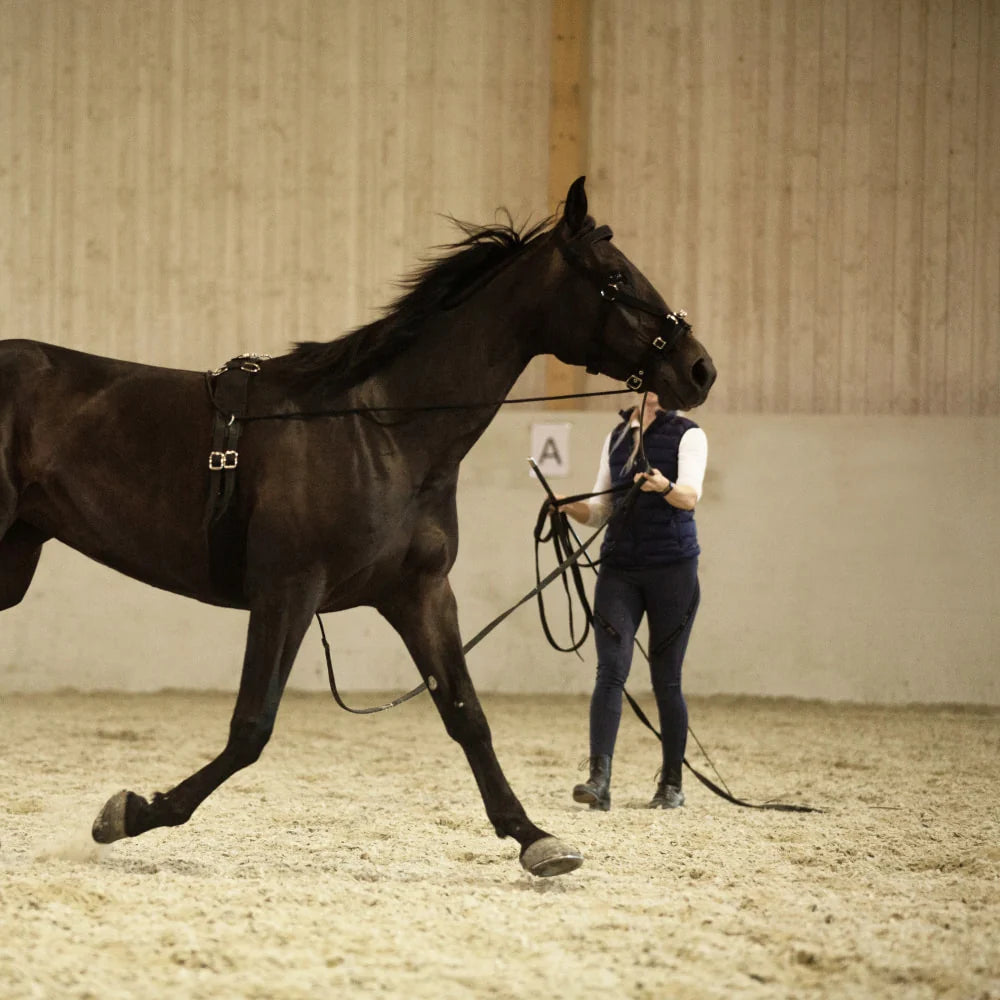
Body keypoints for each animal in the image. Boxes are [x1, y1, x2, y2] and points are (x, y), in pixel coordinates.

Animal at [0, 177, 715, 877]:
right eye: (615, 276)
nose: (699, 368)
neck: (381, 430)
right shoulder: (288, 591)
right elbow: (250, 728)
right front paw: (128, 814)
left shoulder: (419, 593)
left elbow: (467, 716)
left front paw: (533, 837)